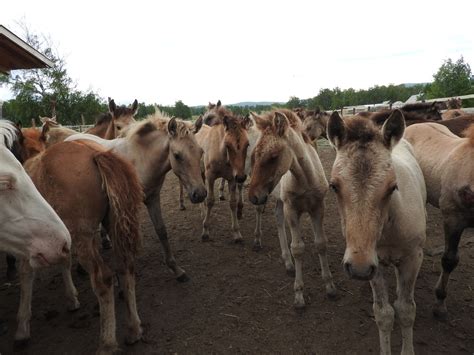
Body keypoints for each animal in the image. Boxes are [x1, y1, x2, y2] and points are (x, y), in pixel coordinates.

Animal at [18, 140, 143, 354]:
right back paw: (133, 329)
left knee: (103, 279)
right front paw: (71, 299)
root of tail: (94, 153)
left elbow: (26, 275)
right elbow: (63, 261)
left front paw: (22, 329)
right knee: (127, 268)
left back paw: (107, 343)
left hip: (81, 238)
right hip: (109, 227)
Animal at [66, 110, 206, 282]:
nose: (200, 194)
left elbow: (161, 230)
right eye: (177, 155)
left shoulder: (153, 199)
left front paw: (176, 269)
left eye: (201, 152)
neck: (140, 159)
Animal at [248, 108, 336, 308]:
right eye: (255, 155)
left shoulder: (318, 208)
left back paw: (288, 262)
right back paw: (258, 241)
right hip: (274, 200)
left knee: (278, 219)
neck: (306, 179)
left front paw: (329, 286)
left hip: (278, 200)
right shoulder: (292, 209)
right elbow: (297, 248)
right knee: (264, 214)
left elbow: (321, 244)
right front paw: (299, 294)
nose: (253, 196)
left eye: (273, 156)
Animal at [326, 110, 426, 354]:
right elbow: (384, 313)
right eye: (333, 186)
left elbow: (406, 310)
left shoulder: (413, 257)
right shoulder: (375, 262)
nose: (359, 269)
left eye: (392, 187)